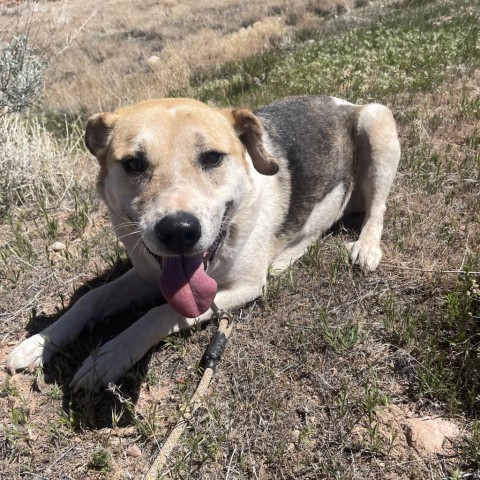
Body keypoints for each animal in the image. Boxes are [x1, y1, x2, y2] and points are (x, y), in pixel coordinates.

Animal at [6, 96, 402, 390]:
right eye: (133, 164)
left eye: (212, 157)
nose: (179, 231)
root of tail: (343, 102)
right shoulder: (147, 273)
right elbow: (92, 298)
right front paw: (38, 344)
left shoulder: (242, 288)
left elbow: (161, 312)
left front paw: (109, 357)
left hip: (377, 122)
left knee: (377, 207)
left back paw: (365, 247)